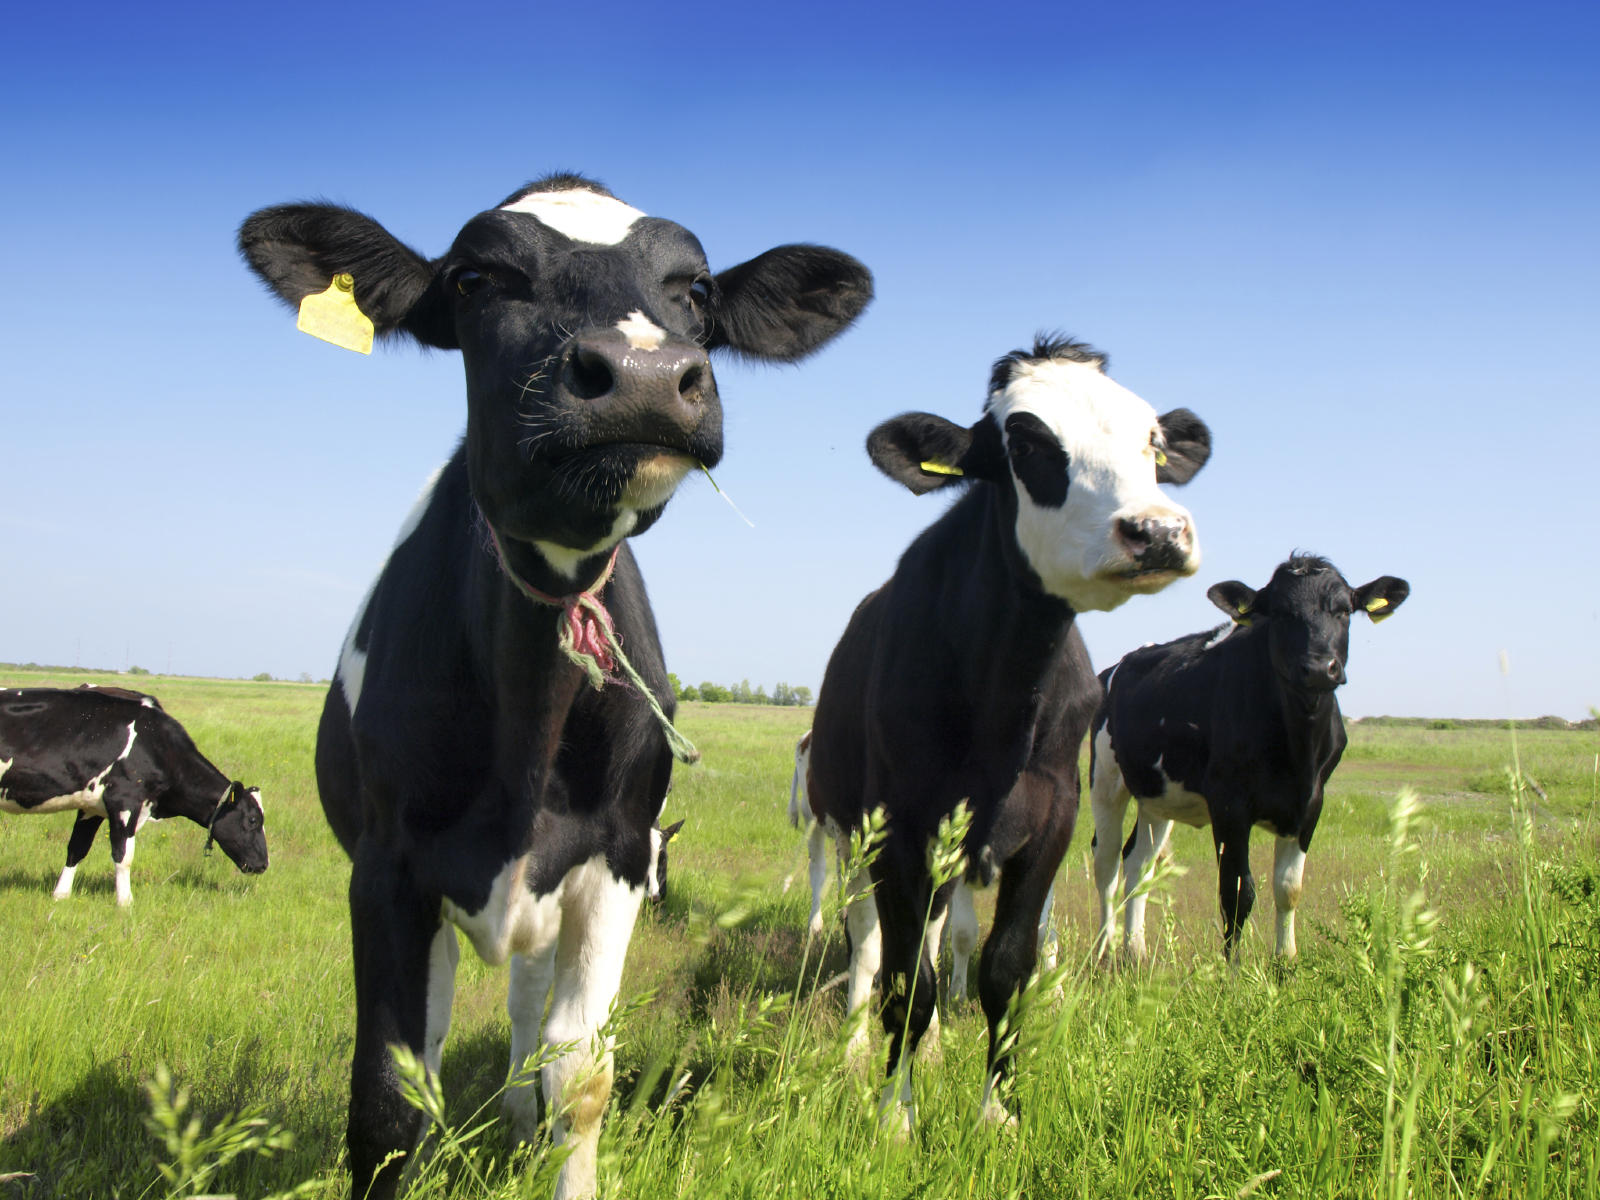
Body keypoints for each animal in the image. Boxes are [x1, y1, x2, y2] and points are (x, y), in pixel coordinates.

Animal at [0, 686, 268, 905]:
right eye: (253, 820)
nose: (263, 864)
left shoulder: (91, 807)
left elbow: (77, 847)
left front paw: (61, 895)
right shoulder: (124, 801)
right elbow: (123, 855)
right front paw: (125, 902)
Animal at [238, 173, 870, 1200]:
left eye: (696, 288)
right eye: (475, 277)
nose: (647, 374)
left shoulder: (615, 854)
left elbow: (580, 1073)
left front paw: (550, 1142)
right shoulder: (386, 871)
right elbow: (389, 1098)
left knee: (529, 1021)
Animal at [807, 334, 1211, 1129]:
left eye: (1152, 441)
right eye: (1025, 443)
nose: (1157, 530)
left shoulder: (1051, 817)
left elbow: (1005, 967)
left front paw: (998, 1112)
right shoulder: (897, 827)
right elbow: (905, 981)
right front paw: (895, 1117)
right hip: (848, 835)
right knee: (867, 945)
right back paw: (858, 1051)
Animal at [1088, 553, 1409, 964]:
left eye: (1343, 611)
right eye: (1281, 613)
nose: (1319, 667)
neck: (1297, 749)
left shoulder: (1311, 804)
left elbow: (1288, 889)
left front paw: (1285, 963)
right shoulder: (1230, 805)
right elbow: (1237, 892)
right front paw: (1233, 971)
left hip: (1158, 796)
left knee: (1138, 863)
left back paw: (1135, 952)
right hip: (1106, 780)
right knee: (1107, 863)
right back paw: (1103, 949)